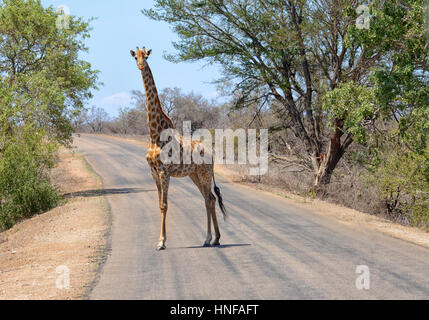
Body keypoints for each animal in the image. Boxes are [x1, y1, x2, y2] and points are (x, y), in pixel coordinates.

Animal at [130, 47, 226, 250]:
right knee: (209, 199)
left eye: (146, 56)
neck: (154, 134)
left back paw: (213, 238)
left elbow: (164, 205)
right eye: (135, 57)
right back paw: (210, 239)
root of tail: (212, 153)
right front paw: (160, 240)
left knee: (210, 199)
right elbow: (159, 204)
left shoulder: (164, 172)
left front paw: (161, 242)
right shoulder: (153, 172)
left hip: (205, 174)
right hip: (194, 175)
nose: (141, 65)